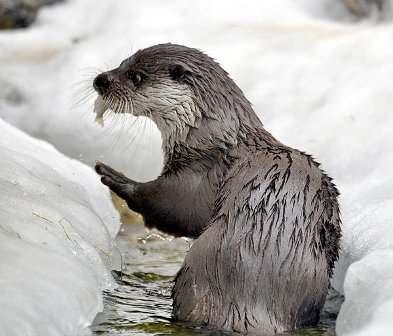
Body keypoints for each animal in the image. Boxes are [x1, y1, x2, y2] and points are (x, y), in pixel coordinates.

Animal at [92, 43, 340, 334]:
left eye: (137, 77)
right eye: (122, 63)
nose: (100, 80)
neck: (209, 139)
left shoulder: (199, 175)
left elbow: (172, 210)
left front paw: (112, 175)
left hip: (196, 274)